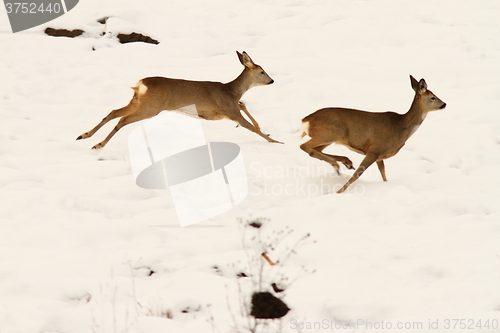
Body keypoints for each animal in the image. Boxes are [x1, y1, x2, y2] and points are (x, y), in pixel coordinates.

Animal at [77, 51, 282, 149]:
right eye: (262, 71)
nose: (272, 80)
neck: (232, 91)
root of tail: (141, 84)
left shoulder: (225, 111)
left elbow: (244, 107)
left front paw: (267, 132)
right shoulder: (229, 110)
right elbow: (249, 126)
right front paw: (276, 142)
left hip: (137, 101)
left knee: (113, 112)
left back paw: (85, 136)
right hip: (150, 108)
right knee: (122, 119)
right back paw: (98, 145)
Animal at [300, 75, 446, 193]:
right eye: (433, 97)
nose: (444, 104)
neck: (401, 128)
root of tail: (305, 120)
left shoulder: (380, 155)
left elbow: (383, 174)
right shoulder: (375, 149)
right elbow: (357, 175)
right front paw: (338, 192)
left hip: (329, 137)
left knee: (315, 150)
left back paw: (346, 162)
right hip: (329, 133)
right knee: (305, 146)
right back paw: (337, 165)